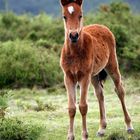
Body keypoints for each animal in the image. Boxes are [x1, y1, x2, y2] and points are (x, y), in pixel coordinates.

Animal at [59, 0, 134, 139]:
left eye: (80, 15)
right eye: (64, 16)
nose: (73, 35)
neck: (74, 53)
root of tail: (102, 26)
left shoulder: (84, 77)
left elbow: (83, 106)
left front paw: (84, 135)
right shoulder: (68, 77)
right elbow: (71, 108)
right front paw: (70, 136)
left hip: (111, 65)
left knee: (120, 90)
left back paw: (129, 126)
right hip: (94, 75)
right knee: (100, 94)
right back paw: (102, 129)